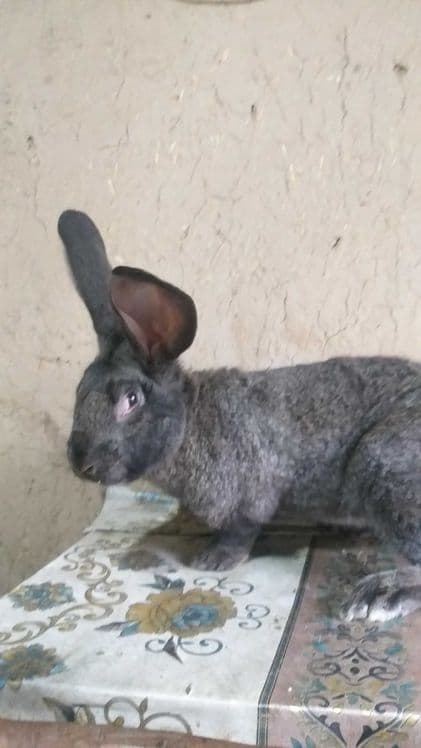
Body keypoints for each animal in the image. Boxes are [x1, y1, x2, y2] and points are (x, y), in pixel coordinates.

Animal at [58, 209, 421, 622]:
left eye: (131, 399)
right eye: (80, 389)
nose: (80, 463)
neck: (190, 423)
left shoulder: (249, 496)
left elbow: (242, 530)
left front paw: (212, 560)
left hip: (382, 464)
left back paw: (378, 595)